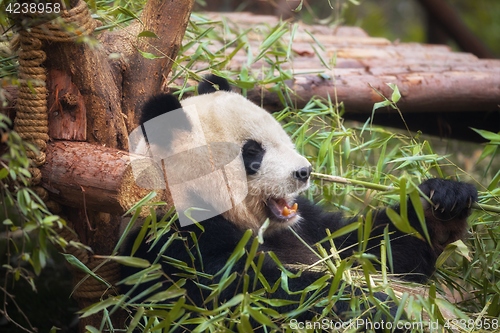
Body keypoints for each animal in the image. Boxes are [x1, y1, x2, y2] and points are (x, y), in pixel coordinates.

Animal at [121, 74, 476, 330]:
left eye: (284, 139)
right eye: (253, 153)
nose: (304, 172)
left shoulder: (308, 227)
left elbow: (371, 248)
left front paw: (443, 200)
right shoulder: (178, 242)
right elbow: (261, 296)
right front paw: (380, 307)